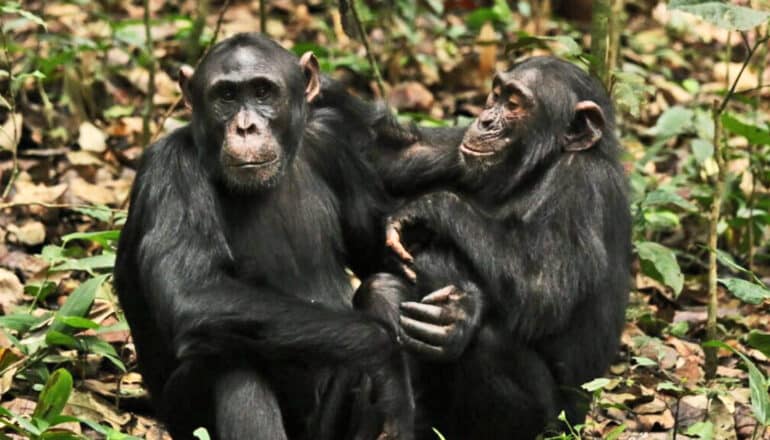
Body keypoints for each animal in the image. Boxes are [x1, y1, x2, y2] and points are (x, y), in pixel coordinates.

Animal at [112, 33, 414, 440]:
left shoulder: (335, 144)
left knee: (383, 288)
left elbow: (379, 255)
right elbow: (193, 292)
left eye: (262, 92)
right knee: (231, 356)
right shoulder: (171, 170)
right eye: (225, 96)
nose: (245, 127)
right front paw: (388, 360)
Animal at [354, 56, 632, 438]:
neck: (543, 167)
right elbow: (397, 152)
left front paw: (434, 208)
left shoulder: (582, 187)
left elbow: (543, 289)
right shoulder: (459, 147)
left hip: (556, 423)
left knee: (487, 342)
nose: (485, 120)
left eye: (514, 104)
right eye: (496, 94)